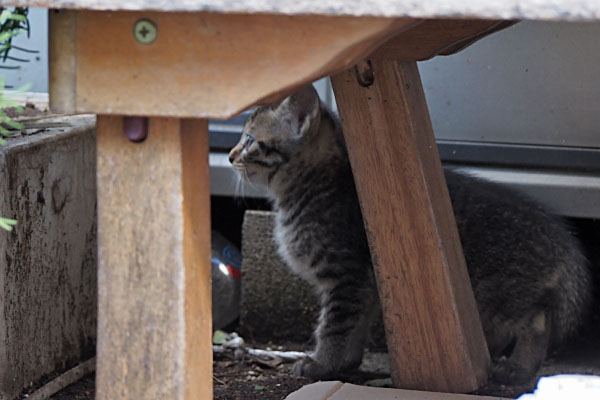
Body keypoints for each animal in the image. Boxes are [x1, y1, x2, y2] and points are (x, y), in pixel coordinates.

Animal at [227, 85, 592, 384]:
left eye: (249, 141)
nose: (230, 156)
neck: (309, 185)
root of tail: (563, 241)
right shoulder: (366, 283)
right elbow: (356, 324)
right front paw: (345, 362)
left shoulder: (346, 275)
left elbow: (334, 325)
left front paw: (322, 363)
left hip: (498, 292)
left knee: (537, 320)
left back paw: (519, 368)